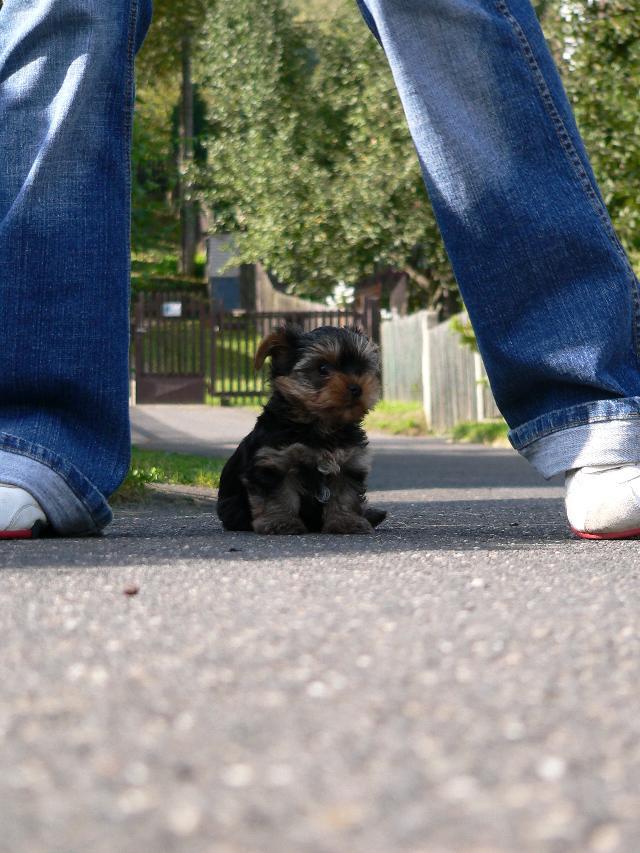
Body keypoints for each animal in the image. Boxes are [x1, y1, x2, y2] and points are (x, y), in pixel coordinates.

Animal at [215, 324, 388, 532]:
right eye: (323, 368)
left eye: (361, 367)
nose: (357, 388)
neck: (322, 425)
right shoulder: (275, 461)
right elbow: (279, 496)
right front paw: (281, 522)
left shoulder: (349, 462)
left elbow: (345, 496)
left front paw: (347, 522)